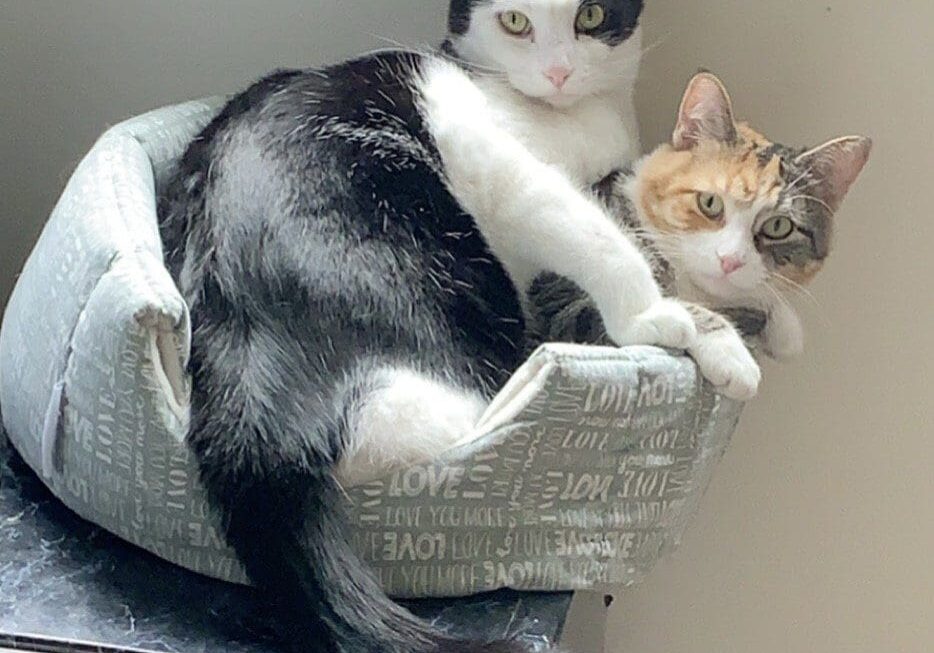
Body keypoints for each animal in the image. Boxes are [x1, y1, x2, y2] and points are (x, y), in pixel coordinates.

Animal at [157, 1, 756, 652]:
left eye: (591, 16)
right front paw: (671, 319)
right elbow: (595, 236)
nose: (558, 72)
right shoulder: (490, 154)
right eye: (515, 21)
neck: (576, 120)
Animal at [532, 74, 876, 364]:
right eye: (709, 202)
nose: (730, 260)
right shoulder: (567, 308)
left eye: (779, 226)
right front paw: (734, 356)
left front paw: (784, 327)